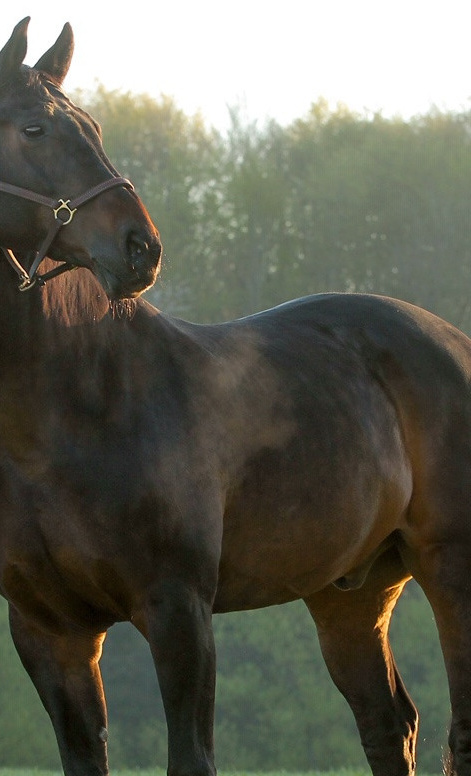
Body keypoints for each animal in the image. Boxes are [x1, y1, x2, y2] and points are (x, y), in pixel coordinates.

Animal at [2, 16, 471, 776]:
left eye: (92, 126)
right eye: (34, 129)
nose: (140, 248)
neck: (75, 408)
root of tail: (450, 340)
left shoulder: (178, 610)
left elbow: (191, 756)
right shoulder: (49, 631)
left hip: (450, 566)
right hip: (350, 592)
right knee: (386, 724)